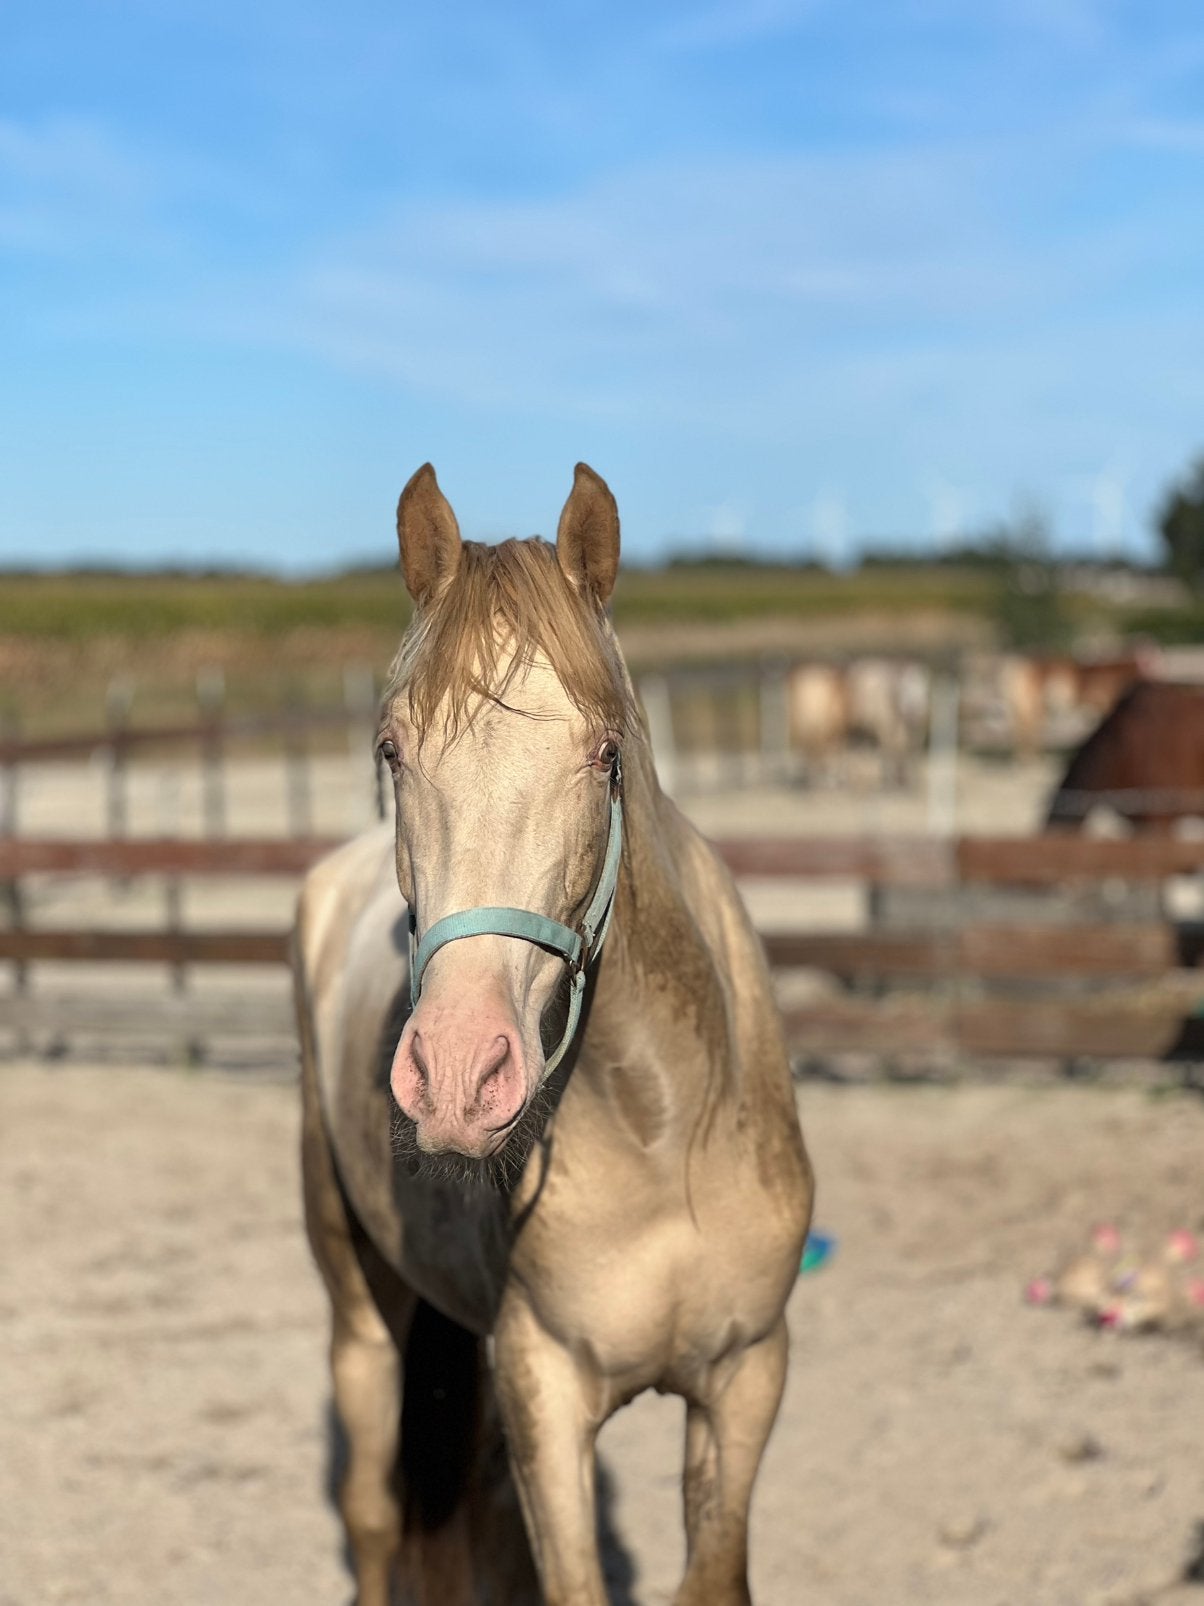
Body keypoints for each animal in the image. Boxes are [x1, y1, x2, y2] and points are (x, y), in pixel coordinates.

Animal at [293, 463, 815, 1606]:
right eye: (392, 748)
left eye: (605, 751)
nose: (455, 1071)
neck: (666, 1131)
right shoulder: (546, 1387)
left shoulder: (746, 1379)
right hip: (358, 1306)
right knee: (370, 1512)